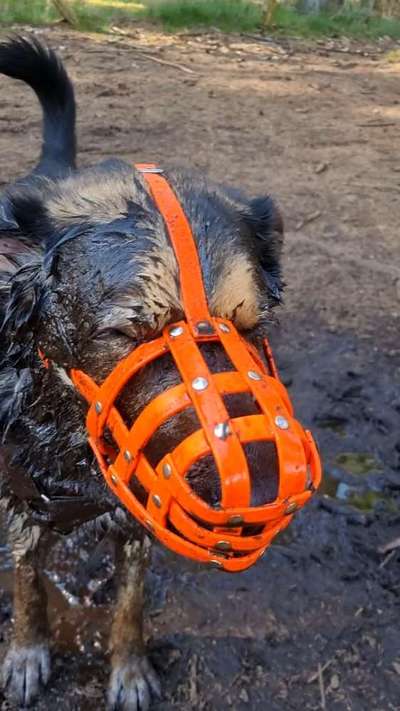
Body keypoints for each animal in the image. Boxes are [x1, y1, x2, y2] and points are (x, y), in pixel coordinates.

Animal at [0, 37, 284, 711]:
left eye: (251, 327)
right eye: (129, 335)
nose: (261, 490)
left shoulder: (139, 517)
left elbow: (130, 604)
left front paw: (128, 668)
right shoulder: (18, 504)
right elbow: (27, 583)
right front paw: (26, 650)